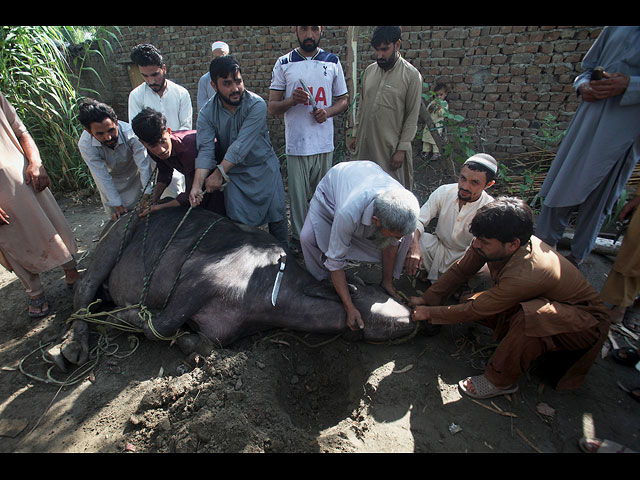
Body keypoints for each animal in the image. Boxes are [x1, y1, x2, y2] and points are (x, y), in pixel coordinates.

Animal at [58, 207, 416, 368]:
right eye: (377, 296)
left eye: (385, 291)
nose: (413, 314)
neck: (272, 292)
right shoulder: (196, 280)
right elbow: (158, 325)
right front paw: (123, 317)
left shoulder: (218, 332)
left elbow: (198, 343)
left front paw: (186, 342)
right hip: (118, 237)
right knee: (84, 288)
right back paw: (74, 346)